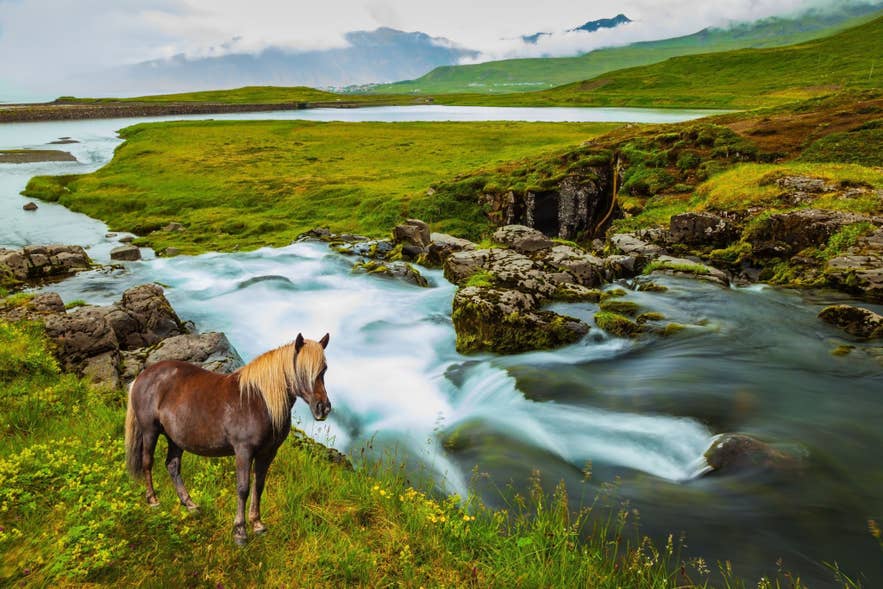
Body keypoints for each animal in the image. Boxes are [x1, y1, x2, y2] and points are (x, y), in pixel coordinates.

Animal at [124, 332, 331, 545]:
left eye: (324, 370)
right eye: (303, 371)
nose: (323, 408)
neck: (258, 400)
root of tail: (143, 376)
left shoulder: (267, 453)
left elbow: (259, 486)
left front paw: (257, 524)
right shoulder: (243, 452)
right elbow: (243, 488)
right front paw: (240, 531)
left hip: (175, 439)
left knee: (172, 466)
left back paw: (190, 504)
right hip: (149, 431)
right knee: (148, 462)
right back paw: (153, 500)